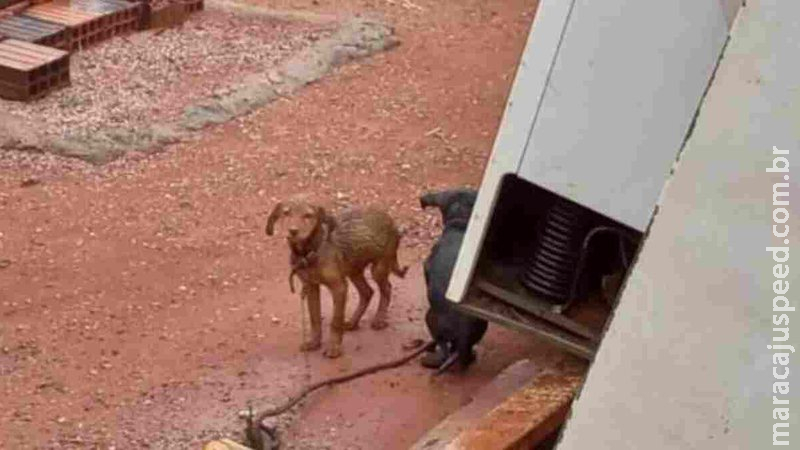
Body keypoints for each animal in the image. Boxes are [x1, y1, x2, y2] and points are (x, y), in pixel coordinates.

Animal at [268, 197, 410, 358]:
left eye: (308, 215)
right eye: (286, 213)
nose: (293, 231)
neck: (309, 251)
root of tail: (390, 220)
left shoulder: (339, 287)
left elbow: (335, 320)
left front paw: (334, 347)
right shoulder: (311, 286)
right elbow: (314, 318)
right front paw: (314, 342)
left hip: (378, 268)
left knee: (386, 288)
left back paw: (379, 319)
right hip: (353, 270)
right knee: (367, 292)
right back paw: (353, 322)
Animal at [418, 186, 488, 372]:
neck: (460, 224)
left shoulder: (426, 266)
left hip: (431, 318)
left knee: (444, 349)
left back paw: (430, 358)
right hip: (481, 326)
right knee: (463, 352)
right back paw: (469, 357)